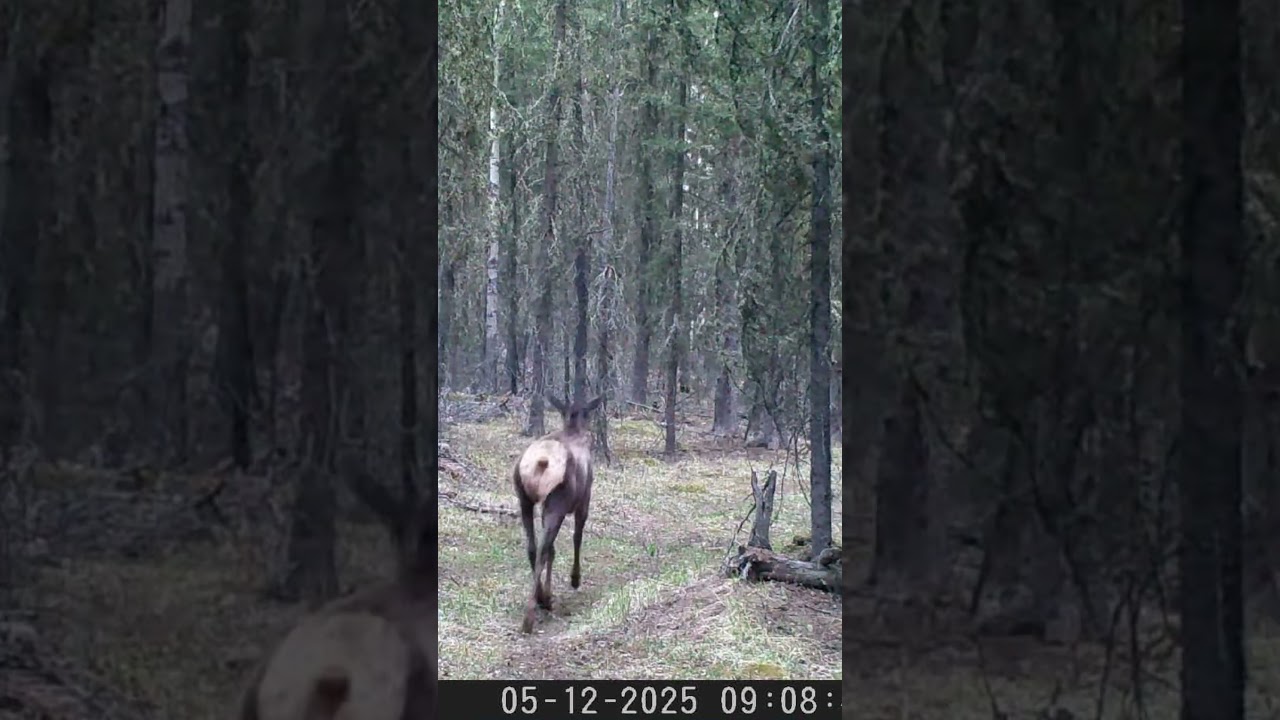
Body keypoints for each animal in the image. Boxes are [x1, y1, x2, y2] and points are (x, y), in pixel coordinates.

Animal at [514, 394, 602, 633]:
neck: (573, 429)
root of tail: (541, 461)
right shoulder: (584, 500)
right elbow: (577, 537)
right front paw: (575, 579)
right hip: (556, 504)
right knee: (544, 549)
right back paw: (533, 612)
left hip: (524, 500)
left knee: (533, 547)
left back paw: (541, 598)